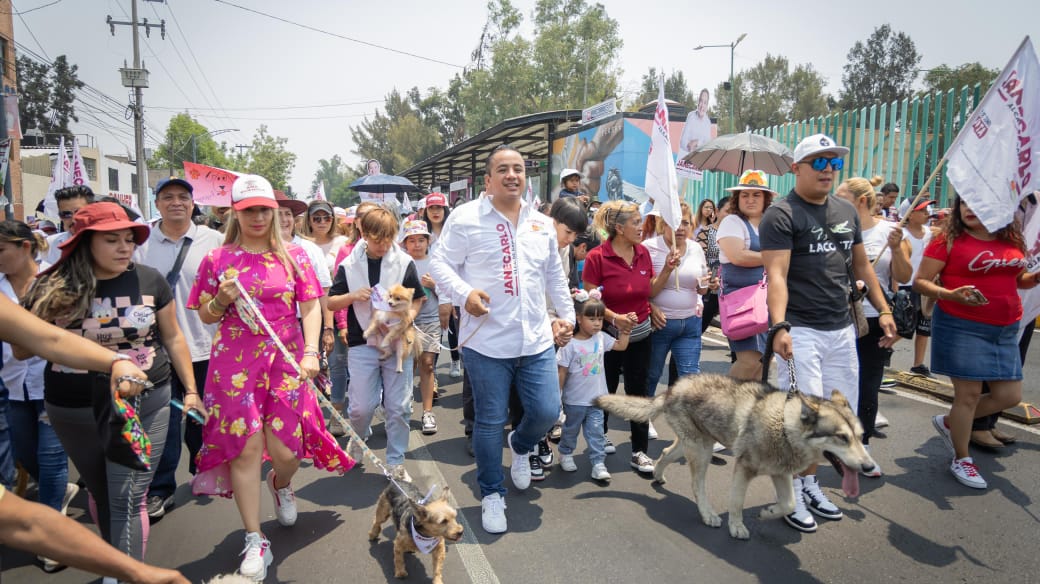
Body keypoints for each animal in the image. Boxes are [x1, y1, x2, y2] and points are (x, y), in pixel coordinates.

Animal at [594, 372, 877, 536]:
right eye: (842, 438)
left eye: (860, 436)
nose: (869, 467)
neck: (785, 426)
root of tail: (672, 388)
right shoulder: (744, 468)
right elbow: (737, 502)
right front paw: (737, 526)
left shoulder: (780, 473)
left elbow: (788, 503)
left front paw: (768, 513)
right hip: (701, 451)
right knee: (697, 486)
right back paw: (707, 514)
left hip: (697, 444)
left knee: (665, 452)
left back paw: (657, 475)